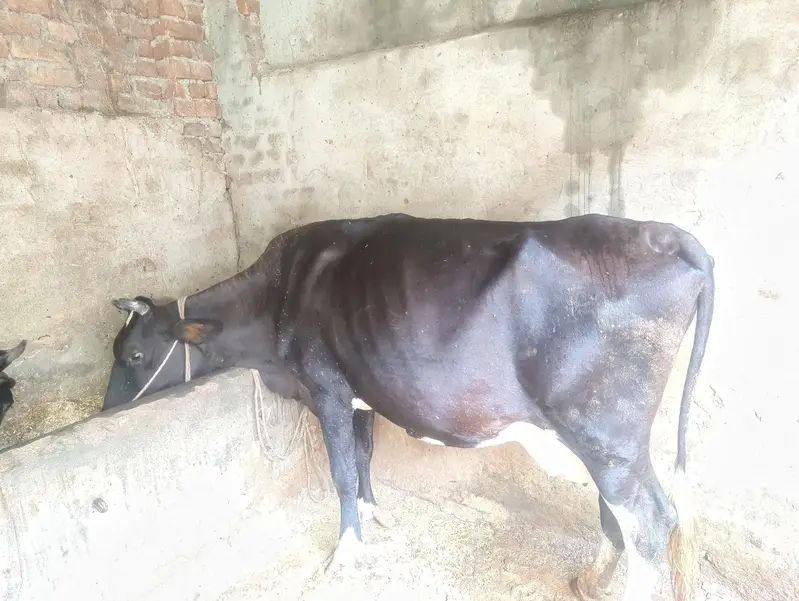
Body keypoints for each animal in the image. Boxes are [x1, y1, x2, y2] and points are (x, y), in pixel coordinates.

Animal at [103, 213, 714, 601]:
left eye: (134, 354)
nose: (104, 413)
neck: (279, 296)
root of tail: (666, 235)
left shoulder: (325, 386)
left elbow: (341, 472)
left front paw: (347, 550)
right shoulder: (361, 389)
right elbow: (365, 456)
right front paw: (375, 513)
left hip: (604, 431)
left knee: (650, 519)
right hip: (607, 439)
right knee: (626, 512)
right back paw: (589, 581)